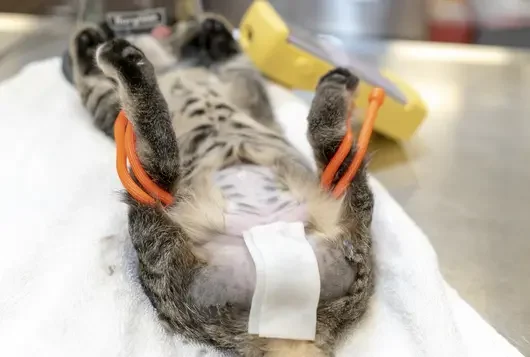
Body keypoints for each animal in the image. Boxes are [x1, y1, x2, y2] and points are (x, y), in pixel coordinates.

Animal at [68, 13, 374, 356]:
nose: (196, 23)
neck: (176, 68)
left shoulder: (247, 93)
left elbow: (240, 64)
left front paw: (216, 34)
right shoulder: (109, 108)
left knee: (161, 159)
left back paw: (127, 59)